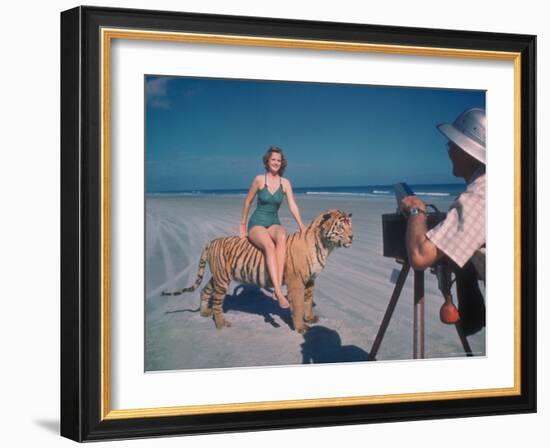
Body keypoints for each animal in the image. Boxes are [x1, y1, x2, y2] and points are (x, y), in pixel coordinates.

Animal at [162, 209, 356, 332]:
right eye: (341, 226)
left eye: (350, 225)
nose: (352, 237)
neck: (325, 246)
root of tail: (212, 241)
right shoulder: (296, 282)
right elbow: (299, 304)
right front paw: (301, 327)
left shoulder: (310, 280)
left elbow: (308, 301)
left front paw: (310, 319)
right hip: (222, 279)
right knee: (217, 302)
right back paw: (221, 323)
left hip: (217, 277)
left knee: (204, 290)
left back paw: (204, 313)